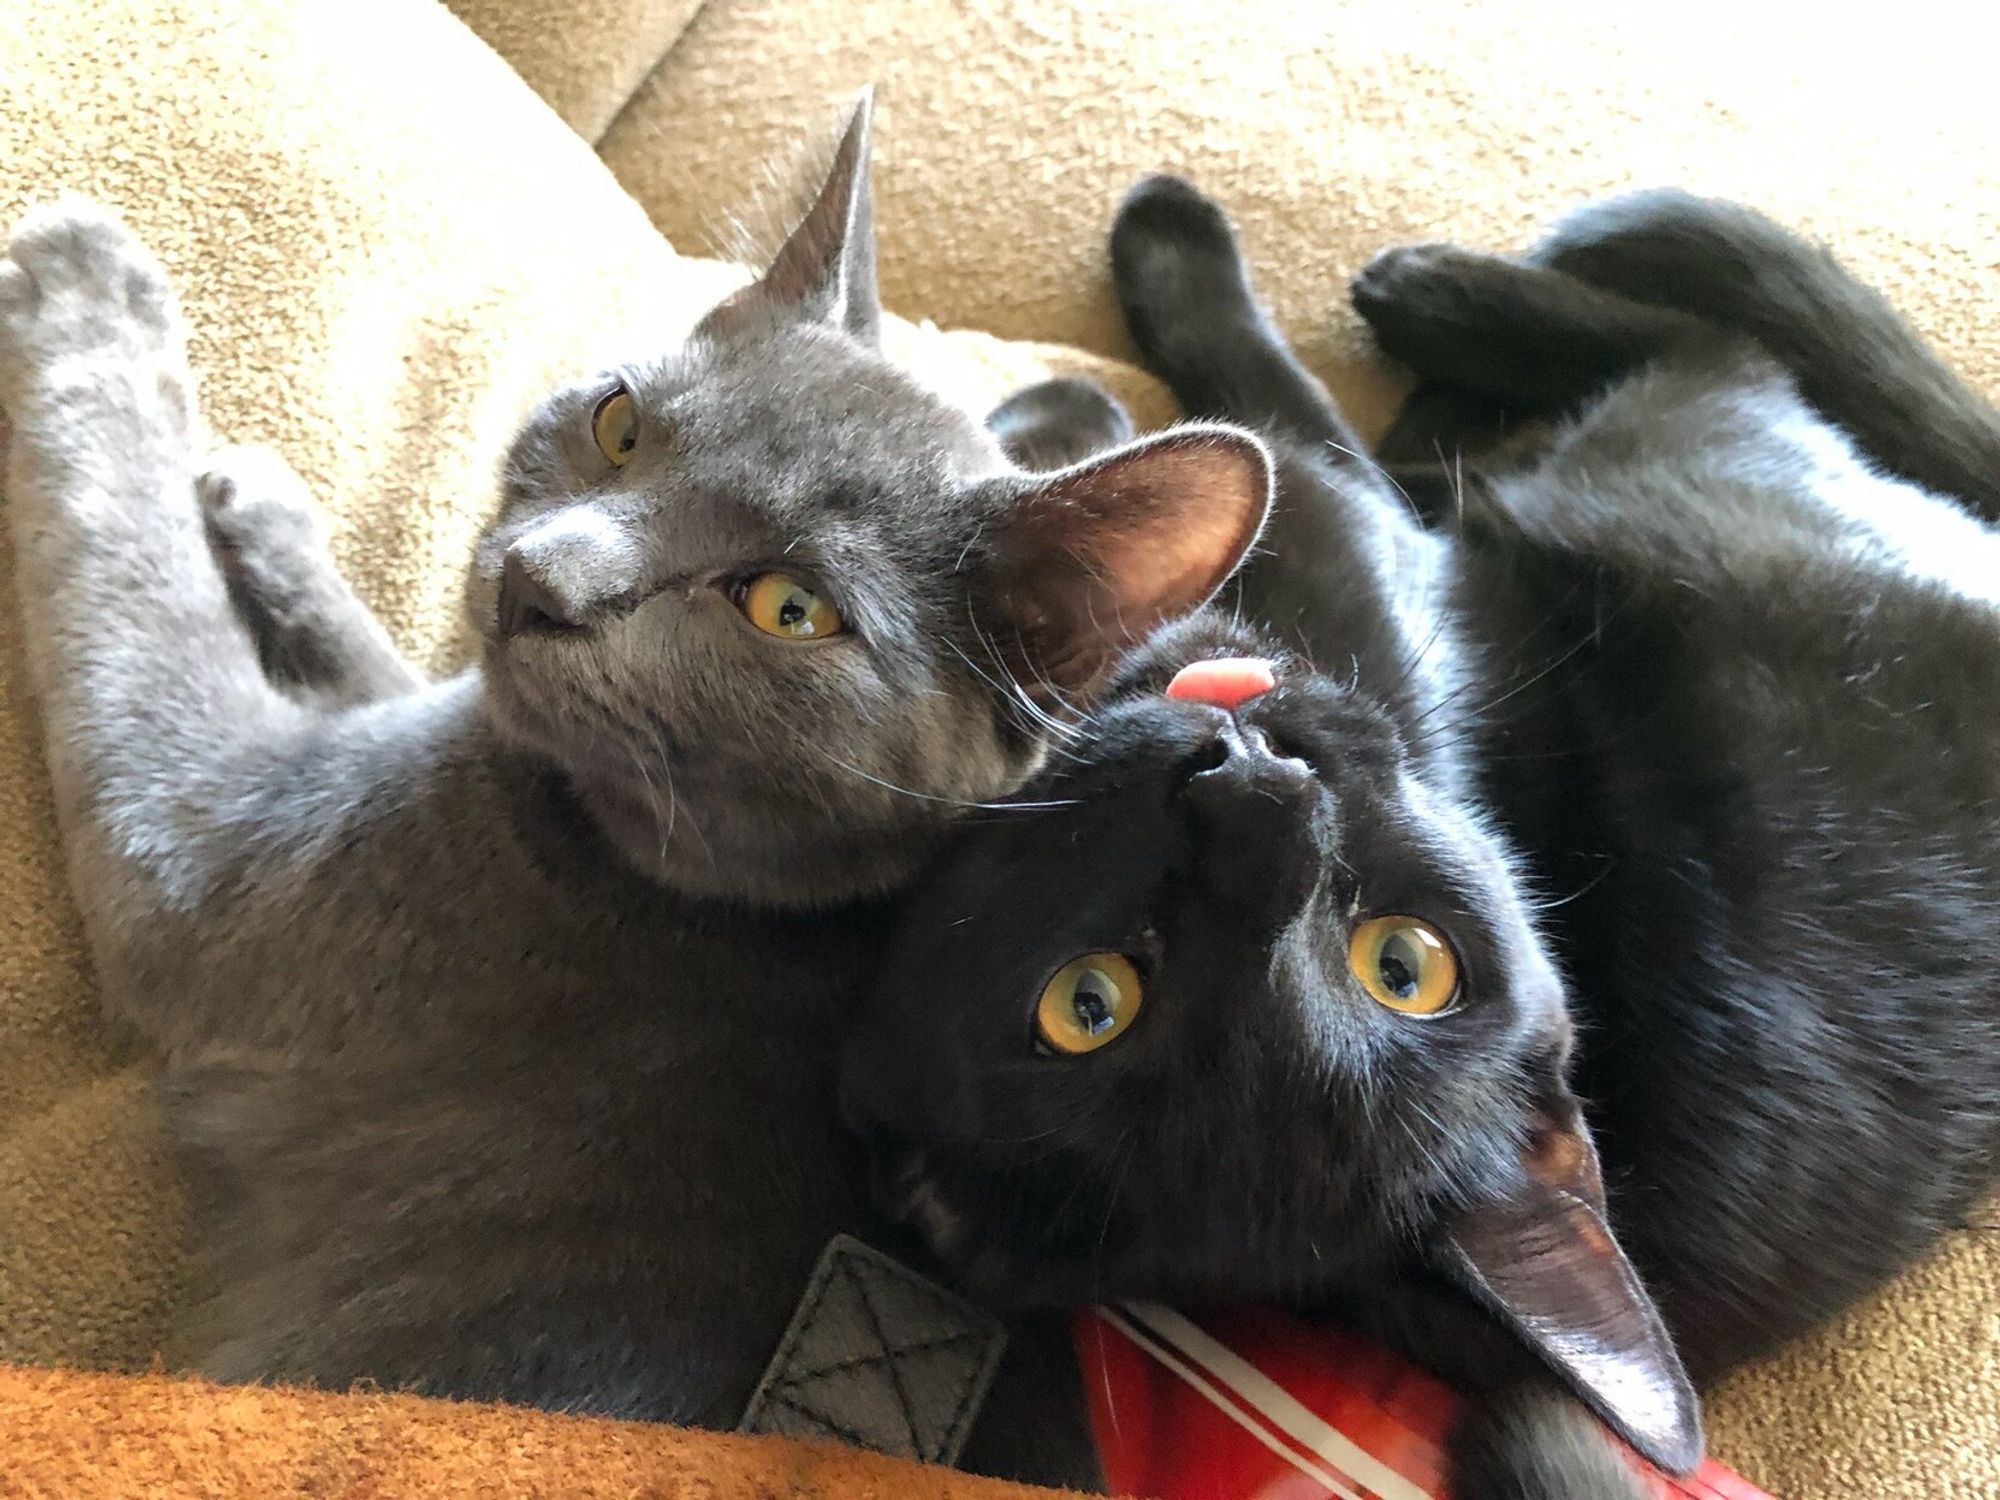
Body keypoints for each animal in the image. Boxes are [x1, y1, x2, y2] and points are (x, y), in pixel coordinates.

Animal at [0, 106, 1264, 1480]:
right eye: (618, 425)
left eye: (788, 608)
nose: (539, 579)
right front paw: (274, 525)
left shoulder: (213, 850)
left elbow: (131, 572)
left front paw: (86, 277)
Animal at [840, 188, 2000, 1500]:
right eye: (1090, 1001)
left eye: (1401, 968)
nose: (1254, 796)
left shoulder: (1360, 549)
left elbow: (1252, 437)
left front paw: (1067, 410)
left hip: (1684, 505)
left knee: (1693, 353)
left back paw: (1404, 294)